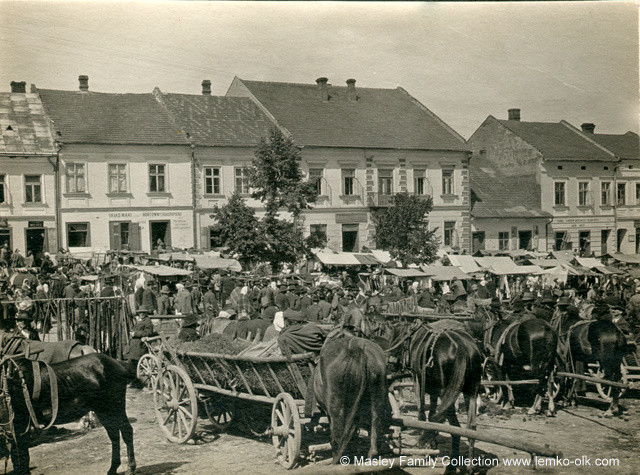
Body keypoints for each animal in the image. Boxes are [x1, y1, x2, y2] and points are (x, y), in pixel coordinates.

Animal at [0, 356, 135, 474]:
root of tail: (117, 362)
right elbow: (19, 455)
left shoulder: (16, 426)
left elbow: (19, 454)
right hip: (103, 409)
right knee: (114, 435)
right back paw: (113, 469)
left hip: (115, 405)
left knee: (126, 431)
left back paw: (131, 468)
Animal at [308, 332, 388, 462]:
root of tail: (355, 347)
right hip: (377, 395)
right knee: (375, 417)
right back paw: (372, 453)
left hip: (336, 405)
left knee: (339, 429)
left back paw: (337, 458)